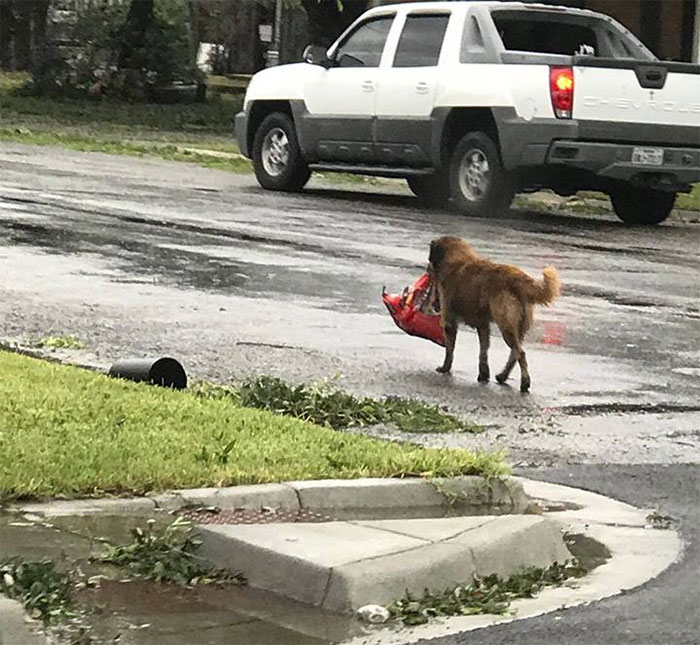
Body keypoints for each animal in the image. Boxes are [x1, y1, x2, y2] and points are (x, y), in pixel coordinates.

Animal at [430, 234, 560, 390]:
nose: (428, 268)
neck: (457, 259)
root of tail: (518, 278)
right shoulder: (483, 325)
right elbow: (483, 351)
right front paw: (484, 374)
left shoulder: (450, 322)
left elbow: (450, 349)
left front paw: (445, 368)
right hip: (518, 327)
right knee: (515, 353)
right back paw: (503, 376)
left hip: (506, 325)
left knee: (520, 352)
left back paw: (524, 382)